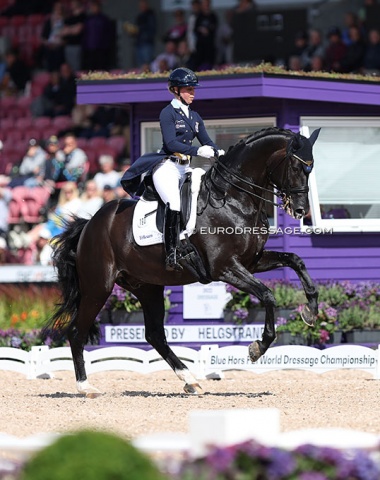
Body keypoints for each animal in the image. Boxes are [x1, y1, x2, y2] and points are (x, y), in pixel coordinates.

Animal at [46, 126, 322, 398]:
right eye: (296, 167)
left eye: (311, 167)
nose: (300, 210)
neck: (234, 199)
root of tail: (90, 224)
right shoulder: (225, 268)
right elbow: (267, 295)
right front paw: (258, 347)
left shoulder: (251, 261)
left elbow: (296, 261)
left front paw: (311, 311)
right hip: (98, 287)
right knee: (76, 332)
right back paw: (85, 386)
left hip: (147, 287)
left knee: (155, 335)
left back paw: (191, 381)